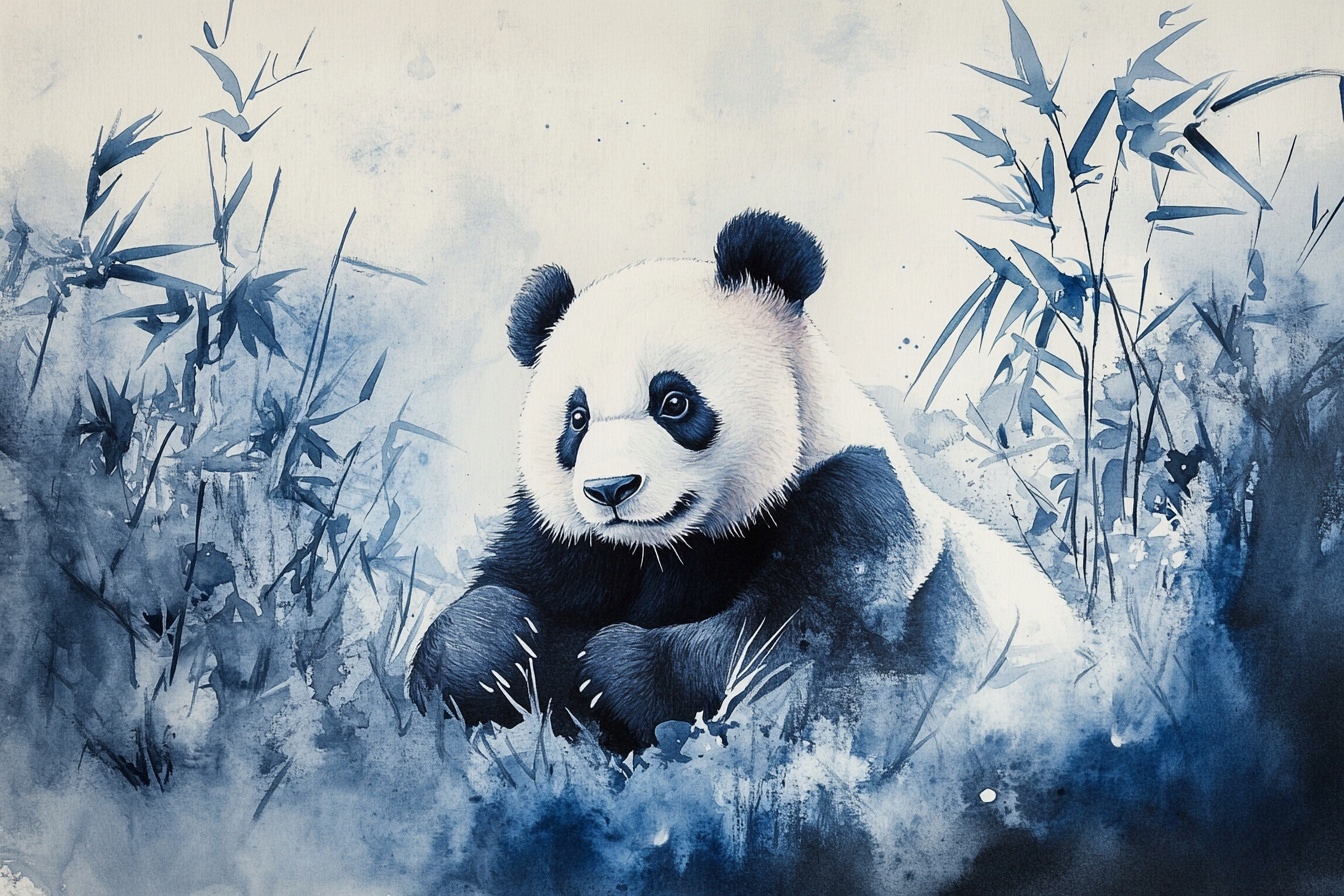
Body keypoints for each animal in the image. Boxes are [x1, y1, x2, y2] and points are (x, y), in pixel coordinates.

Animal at [410, 210, 1083, 755]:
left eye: (674, 401)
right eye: (577, 419)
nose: (611, 489)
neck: (666, 548)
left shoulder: (855, 499)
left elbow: (790, 641)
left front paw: (608, 672)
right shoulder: (566, 544)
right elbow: (501, 600)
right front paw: (489, 655)